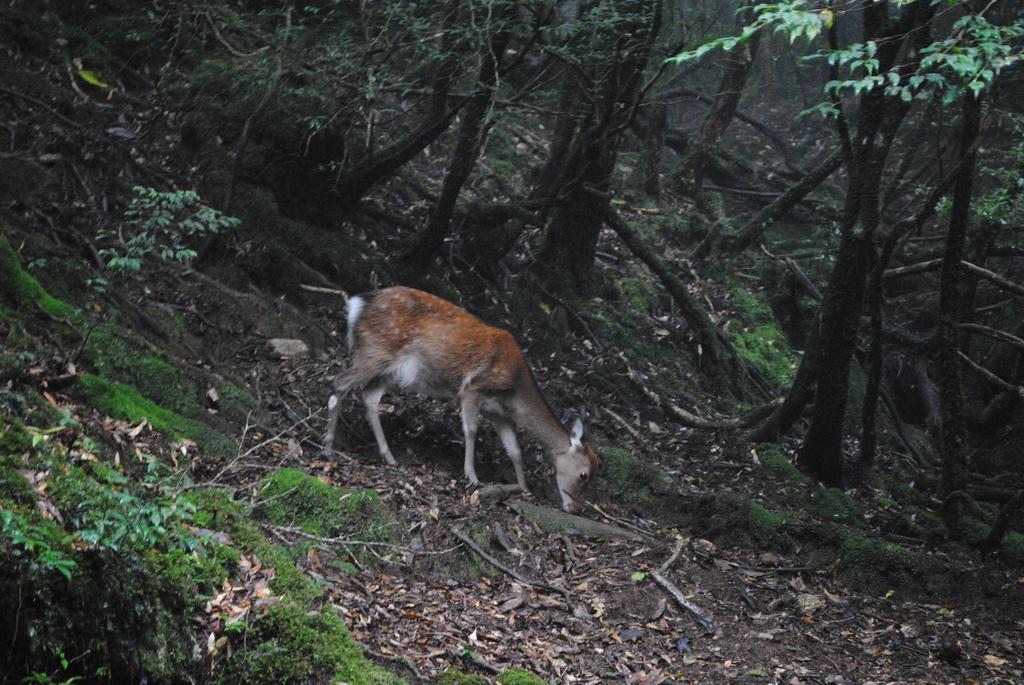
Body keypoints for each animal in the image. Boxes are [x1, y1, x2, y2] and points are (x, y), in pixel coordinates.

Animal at [321, 286, 598, 509]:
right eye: (584, 475)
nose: (576, 508)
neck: (514, 390)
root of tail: (358, 304)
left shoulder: (499, 412)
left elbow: (515, 451)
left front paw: (524, 488)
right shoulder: (473, 388)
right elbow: (471, 431)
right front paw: (472, 477)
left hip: (393, 371)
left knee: (369, 396)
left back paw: (388, 456)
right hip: (374, 351)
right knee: (339, 383)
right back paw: (328, 447)